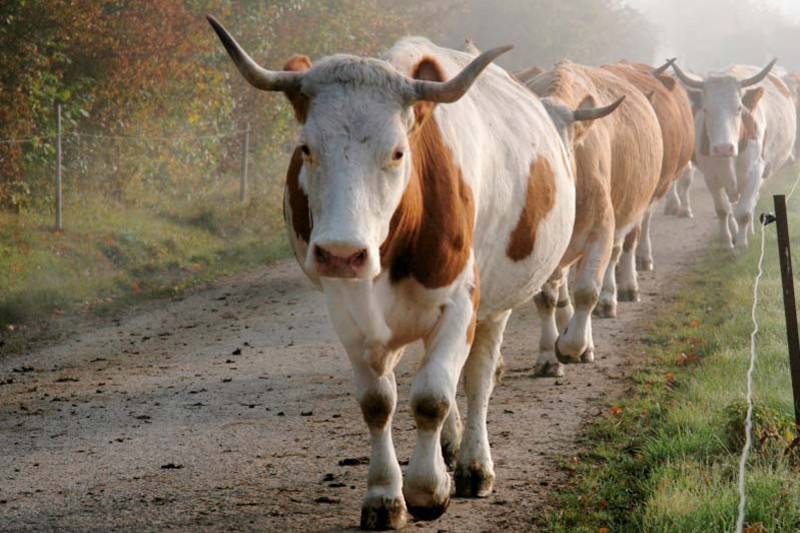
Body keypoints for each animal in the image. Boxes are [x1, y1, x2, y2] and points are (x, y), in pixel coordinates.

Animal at [208, 16, 576, 528]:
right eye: (306, 148)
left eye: (399, 152)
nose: (341, 253)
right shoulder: (346, 308)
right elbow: (378, 403)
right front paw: (385, 496)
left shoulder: (460, 302)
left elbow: (433, 396)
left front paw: (428, 489)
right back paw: (450, 449)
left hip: (496, 303)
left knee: (478, 378)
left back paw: (473, 466)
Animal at [672, 60, 796, 249]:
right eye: (706, 109)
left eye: (739, 108)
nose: (724, 148)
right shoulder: (711, 176)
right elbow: (723, 210)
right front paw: (726, 242)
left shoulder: (755, 172)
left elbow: (744, 211)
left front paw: (742, 246)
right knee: (731, 208)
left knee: (750, 203)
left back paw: (748, 232)